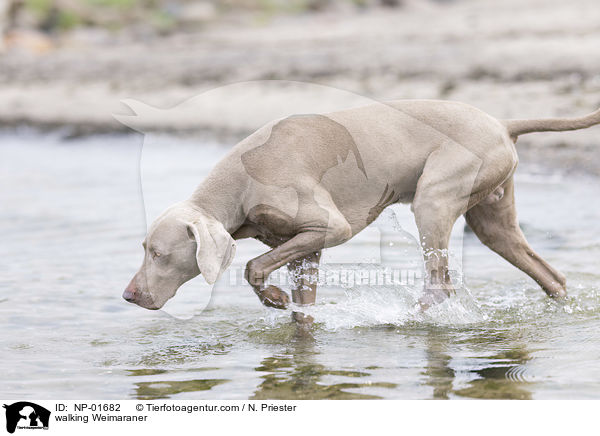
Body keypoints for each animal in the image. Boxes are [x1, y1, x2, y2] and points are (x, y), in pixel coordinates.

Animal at [123, 99, 600, 316]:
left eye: (159, 254)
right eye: (143, 250)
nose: (128, 295)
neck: (239, 185)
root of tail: (502, 122)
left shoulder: (330, 227)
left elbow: (251, 266)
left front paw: (274, 299)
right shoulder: (304, 249)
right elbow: (303, 306)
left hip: (434, 197)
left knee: (440, 282)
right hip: (493, 217)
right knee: (547, 273)